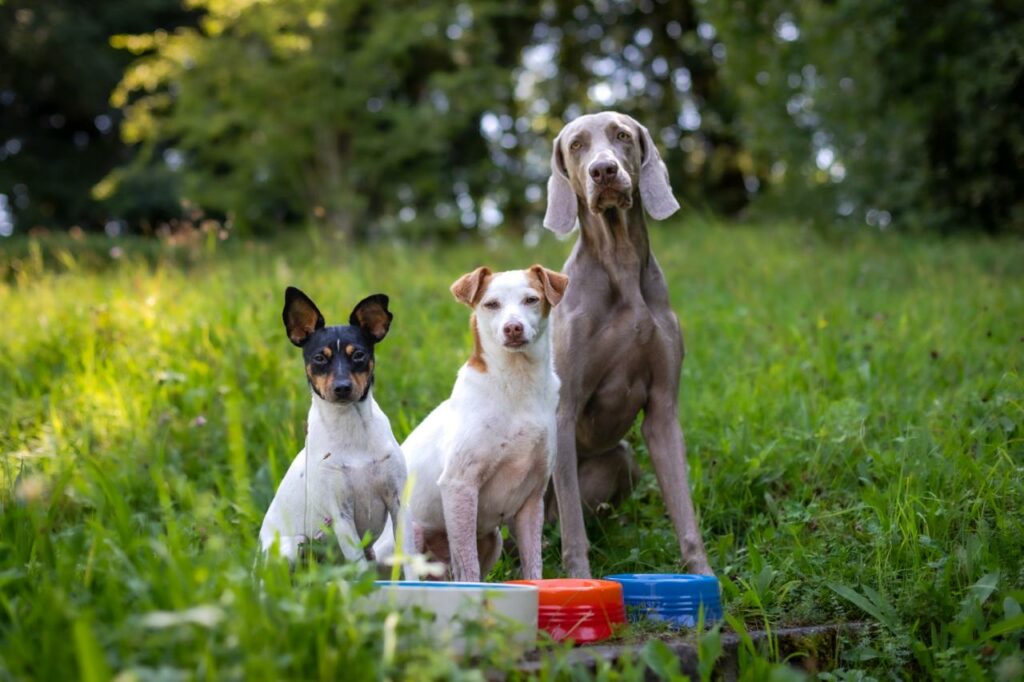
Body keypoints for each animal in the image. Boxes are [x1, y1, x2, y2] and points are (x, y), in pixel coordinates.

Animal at [259, 287, 414, 577]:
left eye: (358, 355)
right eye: (320, 358)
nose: (342, 387)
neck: (352, 429)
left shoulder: (399, 503)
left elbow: (409, 558)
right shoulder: (342, 516)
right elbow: (360, 569)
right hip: (292, 547)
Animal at [375, 266, 568, 582]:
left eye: (531, 299)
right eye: (491, 304)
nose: (512, 328)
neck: (516, 385)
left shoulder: (532, 499)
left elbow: (533, 565)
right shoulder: (459, 485)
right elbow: (468, 567)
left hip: (493, 539)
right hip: (410, 532)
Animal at [542, 111, 713, 577]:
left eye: (621, 135)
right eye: (576, 145)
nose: (604, 171)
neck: (618, 259)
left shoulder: (662, 411)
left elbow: (685, 512)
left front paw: (704, 579)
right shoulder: (562, 413)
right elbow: (574, 532)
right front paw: (580, 583)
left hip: (622, 457)